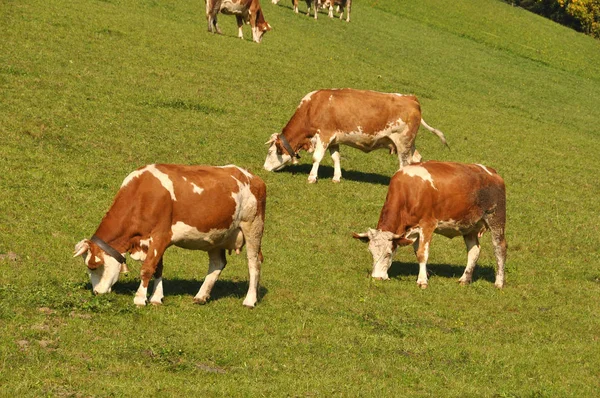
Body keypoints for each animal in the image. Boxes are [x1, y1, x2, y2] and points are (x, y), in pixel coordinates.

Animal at [72, 165, 264, 308]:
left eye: (93, 266)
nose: (96, 292)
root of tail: (252, 176)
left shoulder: (161, 236)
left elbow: (148, 268)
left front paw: (140, 298)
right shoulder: (153, 241)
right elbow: (158, 267)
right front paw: (156, 298)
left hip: (253, 226)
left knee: (253, 263)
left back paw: (249, 300)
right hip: (217, 235)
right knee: (218, 263)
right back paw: (201, 296)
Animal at [262, 89, 446, 183]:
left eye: (270, 152)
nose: (264, 169)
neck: (314, 106)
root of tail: (412, 99)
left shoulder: (324, 134)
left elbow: (317, 157)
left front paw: (312, 177)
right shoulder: (334, 139)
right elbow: (336, 157)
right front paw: (336, 177)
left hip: (403, 143)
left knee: (404, 164)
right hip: (409, 143)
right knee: (416, 158)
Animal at [352, 162, 506, 290]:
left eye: (388, 253)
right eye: (371, 252)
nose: (376, 278)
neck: (409, 192)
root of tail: (491, 172)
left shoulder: (427, 225)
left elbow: (422, 253)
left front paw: (422, 281)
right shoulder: (414, 230)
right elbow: (417, 252)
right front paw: (424, 274)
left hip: (496, 219)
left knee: (499, 248)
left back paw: (499, 282)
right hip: (470, 226)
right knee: (474, 250)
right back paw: (465, 279)